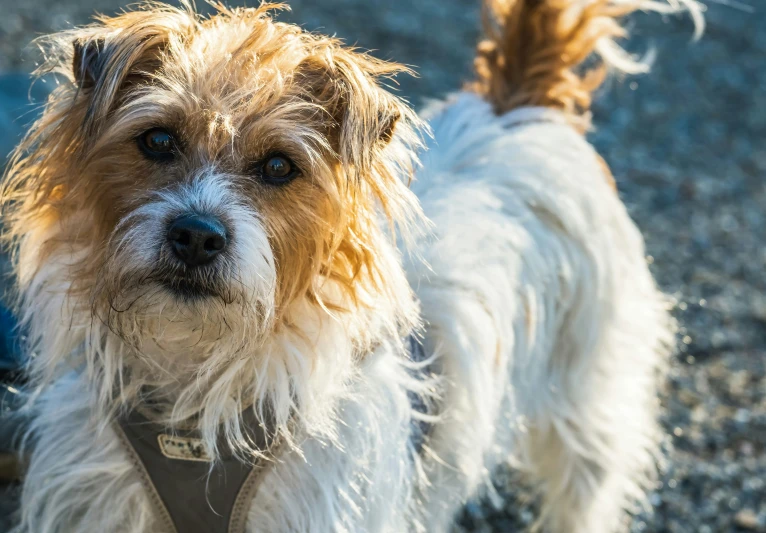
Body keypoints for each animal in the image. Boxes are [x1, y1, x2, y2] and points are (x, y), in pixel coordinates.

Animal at [0, 0, 704, 528]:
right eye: (157, 140)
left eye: (279, 166)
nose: (197, 236)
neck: (196, 385)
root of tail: (519, 106)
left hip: (588, 400)